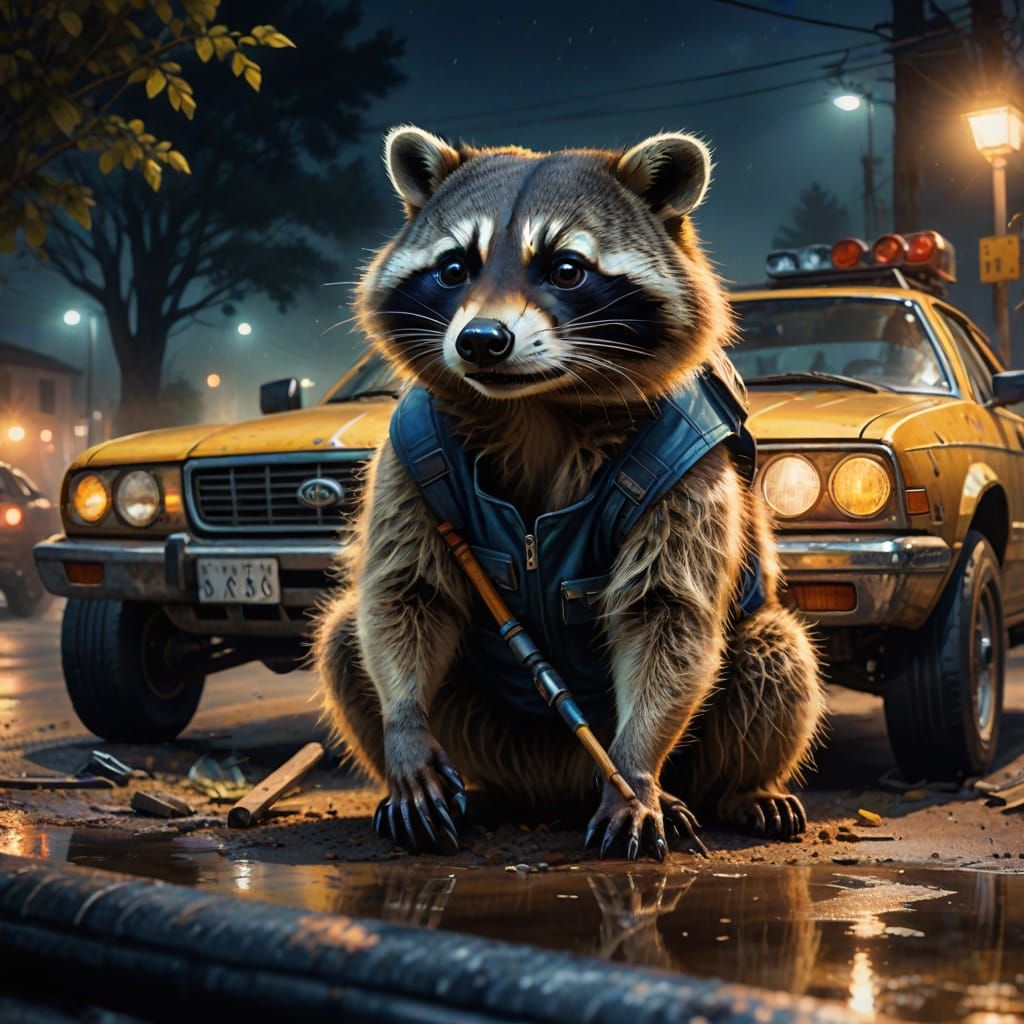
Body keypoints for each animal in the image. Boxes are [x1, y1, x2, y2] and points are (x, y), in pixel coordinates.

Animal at [314, 126, 825, 860]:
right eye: (453, 269)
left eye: (565, 268)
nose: (481, 341)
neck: (536, 405)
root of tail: (556, 787)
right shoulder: (407, 460)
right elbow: (404, 595)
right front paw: (406, 726)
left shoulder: (688, 473)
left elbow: (666, 615)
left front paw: (636, 769)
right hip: (491, 735)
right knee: (343, 635)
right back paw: (472, 789)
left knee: (774, 650)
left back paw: (739, 788)